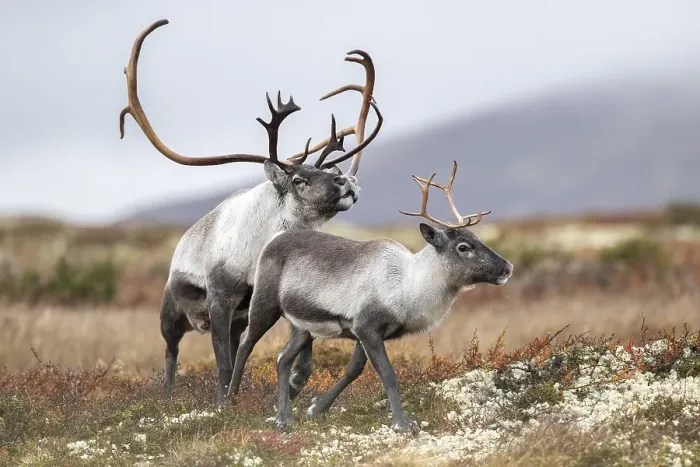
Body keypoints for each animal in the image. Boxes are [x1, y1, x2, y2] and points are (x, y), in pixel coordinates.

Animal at [118, 19, 383, 406]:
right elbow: (223, 363)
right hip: (171, 314)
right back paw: (168, 398)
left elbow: (299, 350)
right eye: (299, 179)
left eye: (326, 171)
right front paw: (223, 402)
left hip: (236, 319)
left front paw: (294, 382)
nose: (345, 180)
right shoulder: (220, 299)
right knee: (171, 353)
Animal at [228, 161, 514, 433]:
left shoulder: (366, 332)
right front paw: (402, 423)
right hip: (265, 304)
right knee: (245, 341)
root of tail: (273, 240)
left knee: (282, 359)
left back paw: (283, 418)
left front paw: (316, 408)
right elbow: (387, 375)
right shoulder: (368, 327)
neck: (408, 287)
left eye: (478, 238)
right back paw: (229, 401)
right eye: (463, 247)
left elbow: (353, 370)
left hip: (302, 326)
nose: (507, 268)